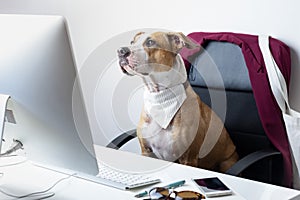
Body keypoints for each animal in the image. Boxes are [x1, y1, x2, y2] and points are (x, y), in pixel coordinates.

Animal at [117, 31, 237, 172]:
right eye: (132, 42)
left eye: (150, 42)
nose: (121, 51)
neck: (160, 97)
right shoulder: (146, 151)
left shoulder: (188, 158)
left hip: (227, 162)